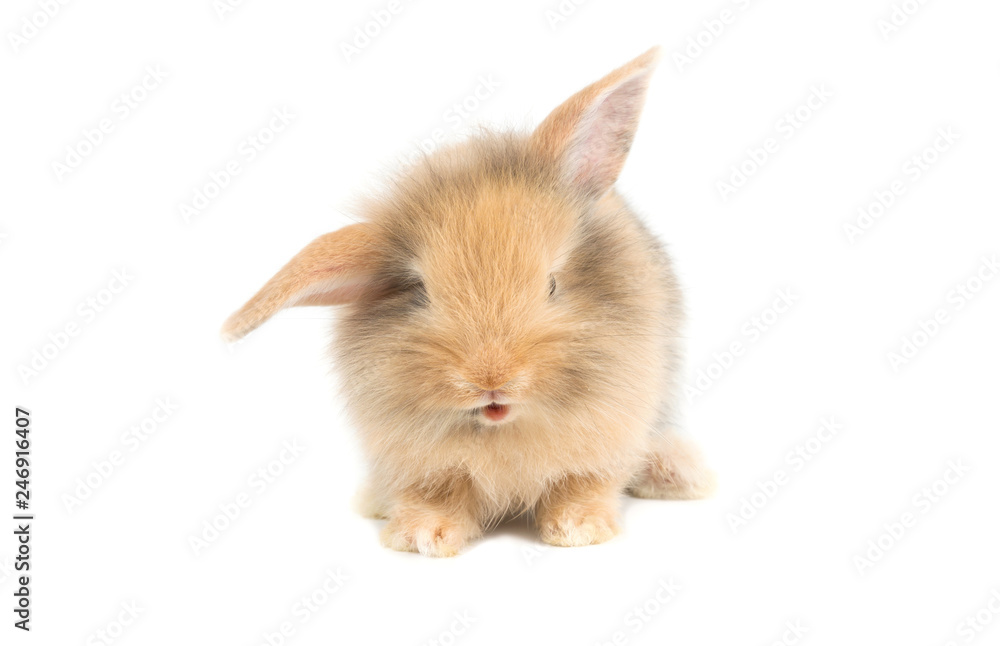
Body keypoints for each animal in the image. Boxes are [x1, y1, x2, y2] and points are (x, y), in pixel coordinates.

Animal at [223, 48, 716, 560]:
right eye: (420, 292)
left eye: (552, 285)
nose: (490, 381)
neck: (504, 429)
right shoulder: (422, 467)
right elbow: (433, 496)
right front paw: (421, 537)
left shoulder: (605, 440)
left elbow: (582, 486)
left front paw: (579, 530)